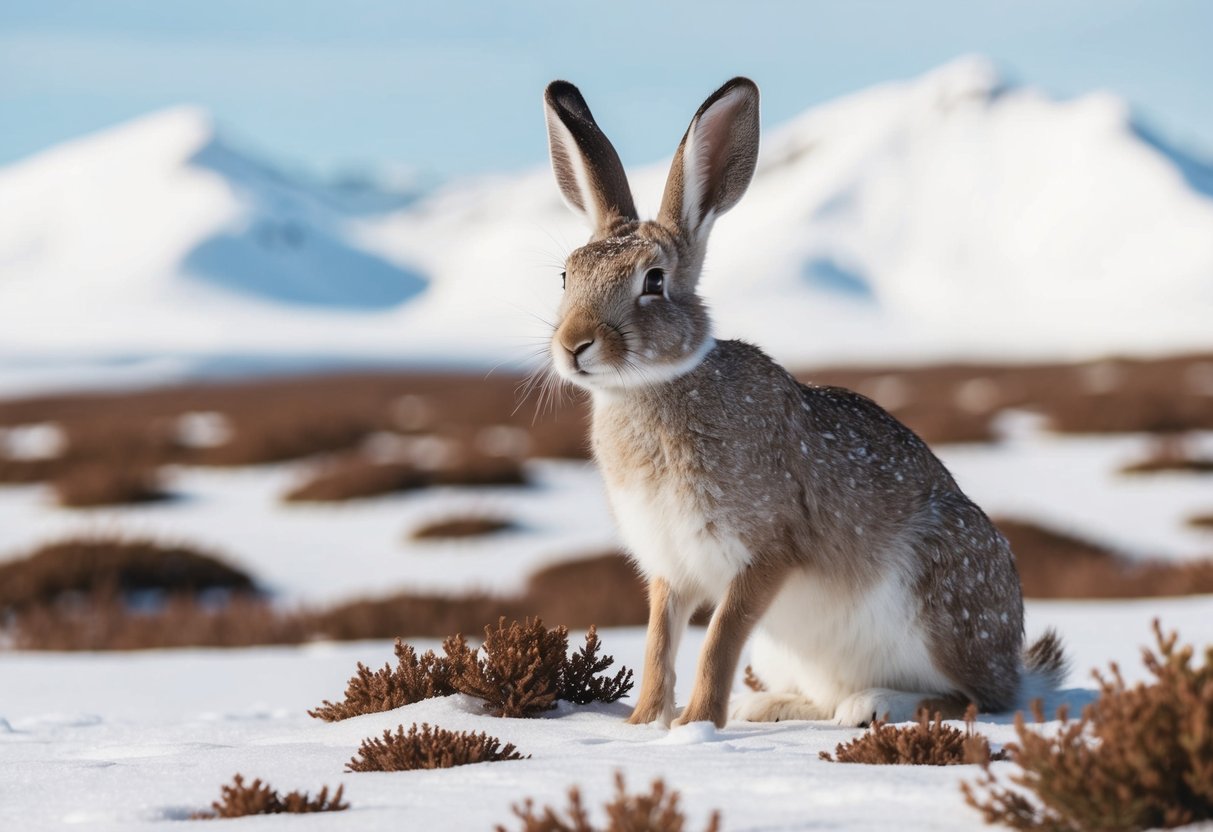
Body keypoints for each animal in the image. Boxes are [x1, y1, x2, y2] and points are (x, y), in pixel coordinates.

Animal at [541, 76, 1067, 728]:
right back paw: (767, 705)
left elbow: (719, 640)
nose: (574, 345)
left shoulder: (767, 553)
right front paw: (644, 724)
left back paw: (873, 704)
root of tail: (1013, 662)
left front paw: (696, 725)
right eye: (566, 277)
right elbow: (660, 642)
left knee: (976, 699)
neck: (651, 387)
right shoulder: (669, 568)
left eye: (654, 281)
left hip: (939, 606)